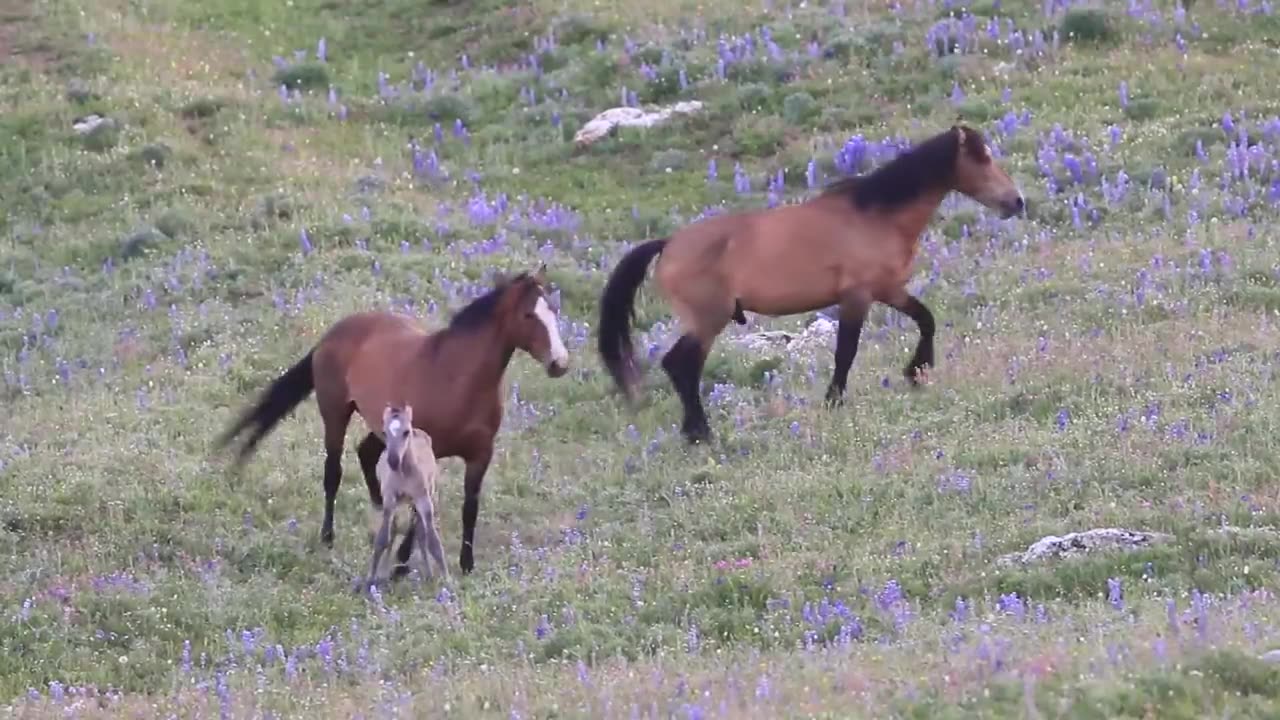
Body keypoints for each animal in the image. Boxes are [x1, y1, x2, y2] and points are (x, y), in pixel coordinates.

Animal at [216, 266, 570, 573]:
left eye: (554, 310)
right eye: (528, 315)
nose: (560, 363)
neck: (457, 376)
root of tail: (333, 334)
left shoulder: (480, 455)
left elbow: (469, 508)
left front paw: (466, 563)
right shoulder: (427, 453)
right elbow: (420, 508)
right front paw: (402, 561)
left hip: (383, 428)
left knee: (366, 454)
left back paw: (381, 513)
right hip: (335, 414)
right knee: (333, 472)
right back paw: (329, 537)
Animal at [593, 126, 1024, 445]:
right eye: (982, 158)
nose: (1016, 202)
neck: (875, 215)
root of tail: (668, 244)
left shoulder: (887, 290)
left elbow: (926, 319)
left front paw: (916, 370)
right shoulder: (857, 297)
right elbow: (845, 352)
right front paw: (834, 400)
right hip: (708, 321)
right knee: (681, 366)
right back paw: (700, 432)